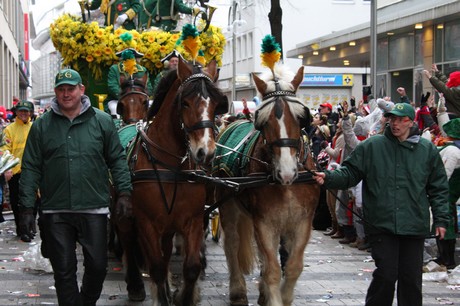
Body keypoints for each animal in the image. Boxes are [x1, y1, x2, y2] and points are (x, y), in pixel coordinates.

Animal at [117, 56, 227, 304]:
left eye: (217, 104)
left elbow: (191, 267)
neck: (172, 166)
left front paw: (183, 295)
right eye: (184, 103)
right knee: (127, 241)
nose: (205, 152)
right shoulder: (147, 223)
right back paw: (135, 285)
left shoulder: (193, 219)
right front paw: (162, 295)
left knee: (166, 251)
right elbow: (157, 267)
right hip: (125, 214)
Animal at [215, 64, 320, 306]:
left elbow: (293, 266)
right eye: (264, 121)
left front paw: (283, 296)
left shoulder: (302, 222)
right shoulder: (264, 222)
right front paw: (274, 298)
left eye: (301, 118)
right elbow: (273, 269)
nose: (287, 172)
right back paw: (237, 290)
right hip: (227, 205)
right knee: (232, 244)